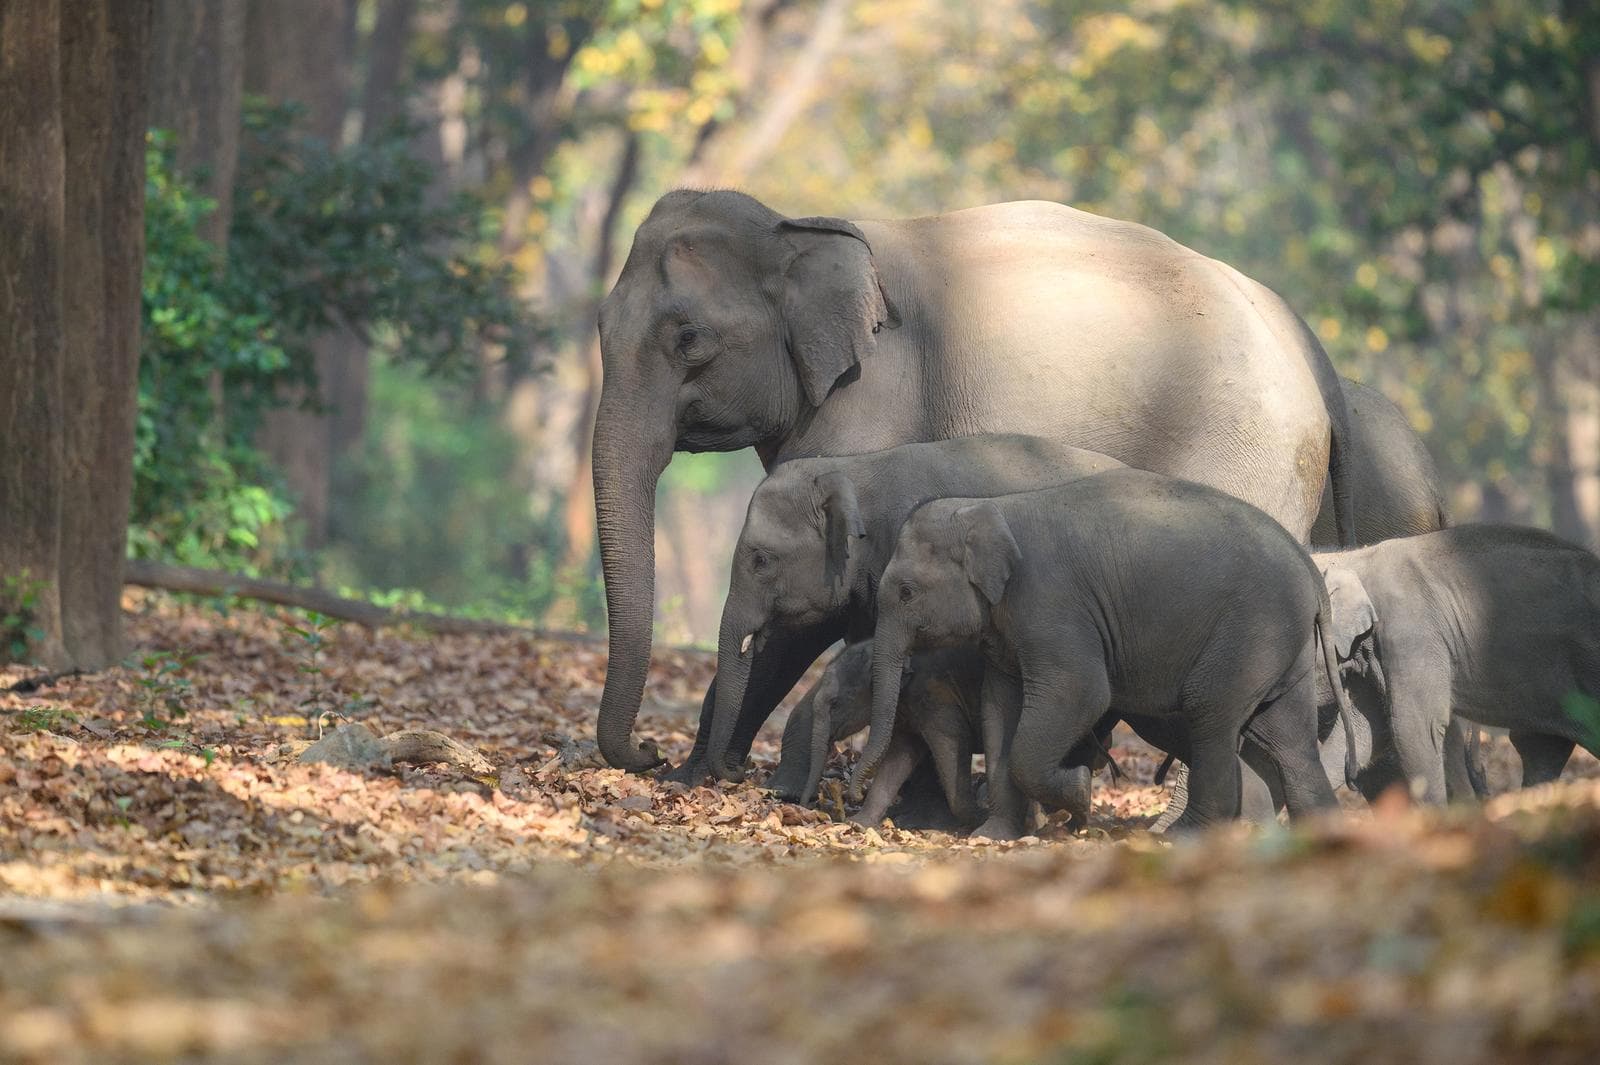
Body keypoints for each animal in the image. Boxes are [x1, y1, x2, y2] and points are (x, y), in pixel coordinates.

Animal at [854, 469, 1357, 839]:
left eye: (906, 592)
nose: (850, 794)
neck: (993, 505)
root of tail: (1310, 569)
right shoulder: (1007, 629)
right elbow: (1000, 707)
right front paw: (993, 836)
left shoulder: (1051, 604)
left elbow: (1083, 692)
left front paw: (1076, 794)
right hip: (1285, 648)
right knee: (1290, 742)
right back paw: (1321, 838)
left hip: (1251, 632)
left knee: (1212, 716)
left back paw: (1179, 838)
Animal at [1317, 524, 1600, 800]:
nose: (1352, 782)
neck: (1354, 557)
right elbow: (1366, 728)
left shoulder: (1411, 634)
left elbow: (1415, 728)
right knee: (1541, 749)